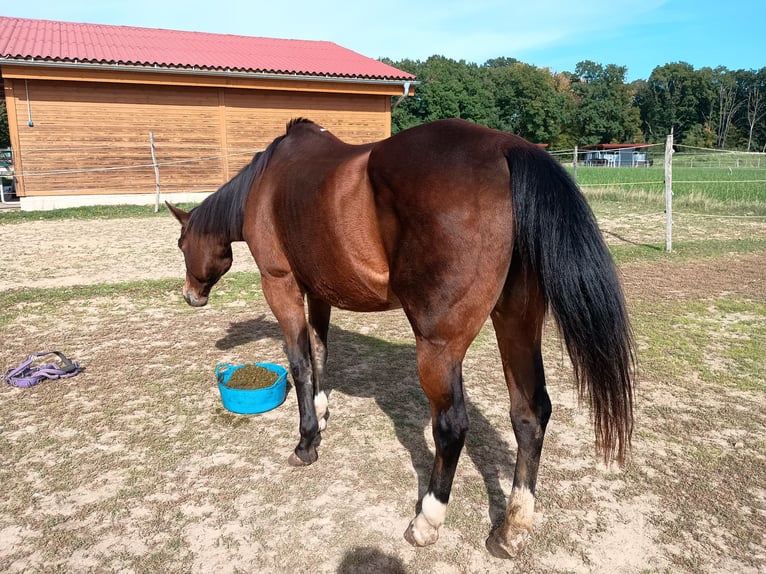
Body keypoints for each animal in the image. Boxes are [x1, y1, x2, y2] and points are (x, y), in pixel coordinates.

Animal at [168, 118, 635, 559]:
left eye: (181, 243)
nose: (191, 295)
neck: (267, 182)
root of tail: (507, 148)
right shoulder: (319, 290)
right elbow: (320, 353)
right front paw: (321, 413)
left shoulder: (280, 284)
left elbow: (300, 363)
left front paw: (306, 442)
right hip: (516, 322)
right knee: (529, 414)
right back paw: (512, 528)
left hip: (439, 347)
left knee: (451, 427)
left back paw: (428, 520)